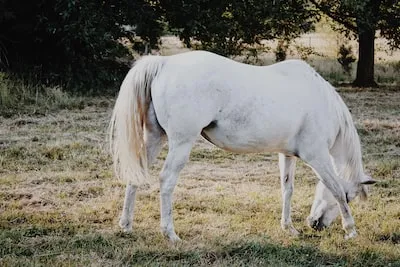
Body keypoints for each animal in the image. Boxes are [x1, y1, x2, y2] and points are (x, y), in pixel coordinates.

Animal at [109, 50, 376, 243]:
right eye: (351, 197)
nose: (316, 225)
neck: (321, 102)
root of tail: (164, 63)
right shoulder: (317, 157)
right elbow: (335, 188)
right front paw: (351, 230)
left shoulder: (287, 155)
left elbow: (287, 189)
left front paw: (288, 228)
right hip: (181, 143)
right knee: (166, 181)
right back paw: (170, 233)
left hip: (155, 138)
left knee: (136, 176)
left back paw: (126, 225)